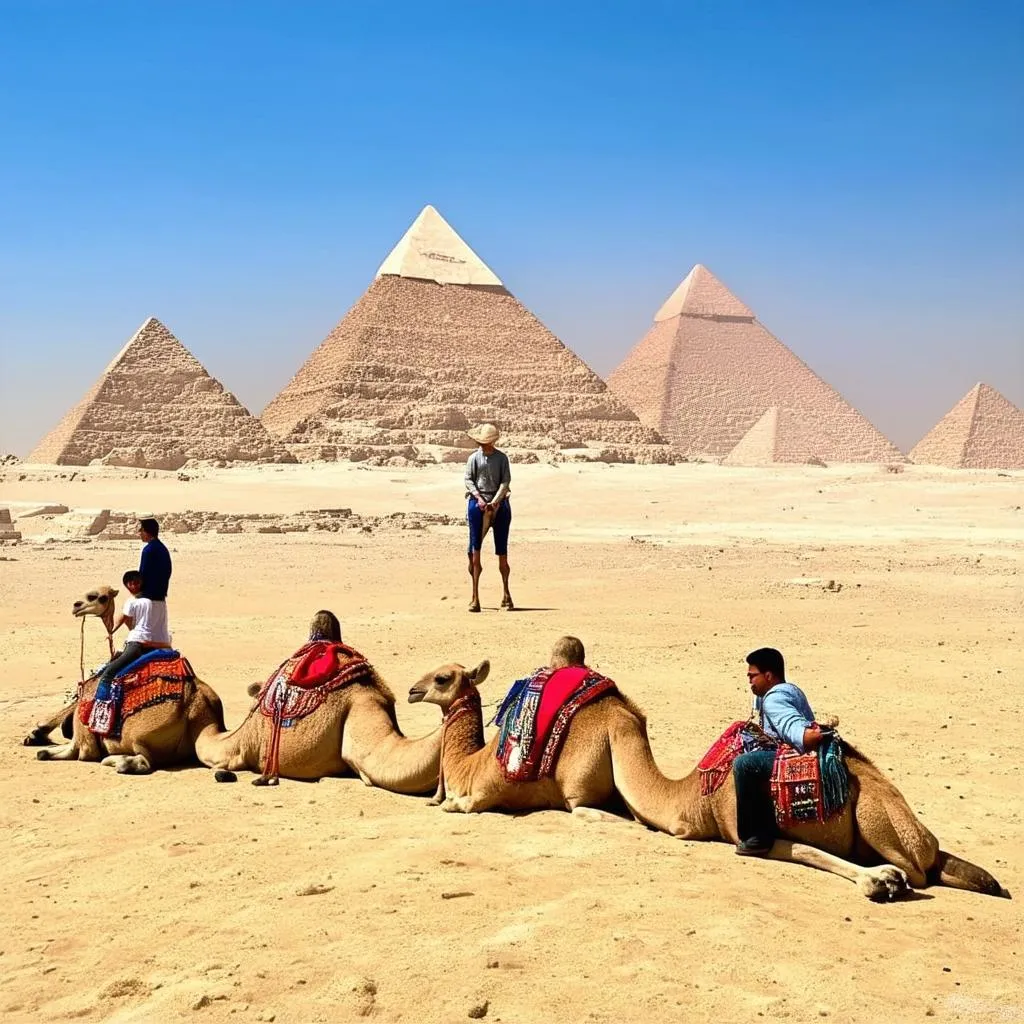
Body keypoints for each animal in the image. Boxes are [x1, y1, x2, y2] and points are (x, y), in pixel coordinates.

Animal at [407, 643, 1007, 901]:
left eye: (442, 677)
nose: (412, 689)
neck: (689, 795)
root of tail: (927, 840)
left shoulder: (741, 826)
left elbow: (801, 849)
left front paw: (879, 881)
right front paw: (879, 880)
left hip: (883, 822)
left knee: (919, 868)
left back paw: (899, 873)